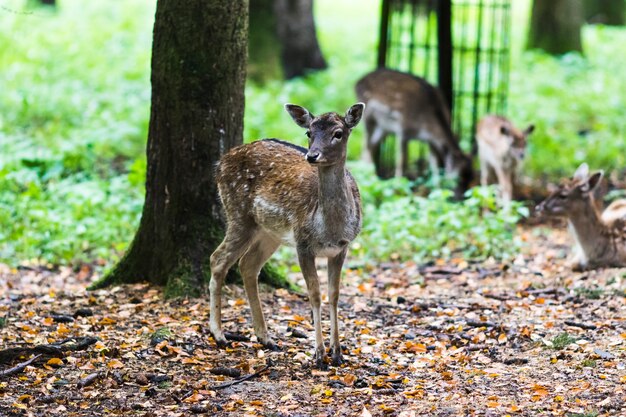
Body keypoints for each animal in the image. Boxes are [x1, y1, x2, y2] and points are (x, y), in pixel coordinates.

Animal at [210, 102, 366, 368]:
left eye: (338, 133)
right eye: (309, 133)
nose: (312, 156)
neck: (330, 229)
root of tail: (220, 162)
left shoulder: (342, 247)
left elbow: (334, 295)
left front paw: (337, 353)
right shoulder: (302, 243)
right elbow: (314, 295)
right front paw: (320, 354)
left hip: (268, 231)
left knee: (247, 264)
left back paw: (265, 338)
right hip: (239, 214)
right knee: (217, 259)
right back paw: (219, 334)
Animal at [354, 67, 470, 197]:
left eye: (471, 175)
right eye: (459, 177)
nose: (460, 196)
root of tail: (357, 82)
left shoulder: (430, 141)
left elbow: (434, 165)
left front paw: (437, 191)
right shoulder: (402, 130)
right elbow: (401, 161)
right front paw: (398, 190)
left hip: (383, 127)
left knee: (371, 147)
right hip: (368, 118)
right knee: (365, 145)